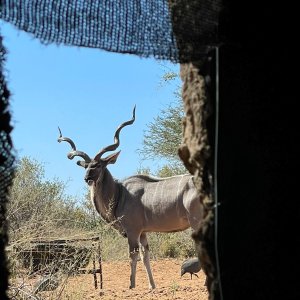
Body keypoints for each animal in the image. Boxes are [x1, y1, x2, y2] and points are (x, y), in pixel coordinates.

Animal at [57, 106, 203, 290]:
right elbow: (145, 256)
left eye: (98, 165)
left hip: (197, 222)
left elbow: (133, 257)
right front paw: (151, 286)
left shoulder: (133, 231)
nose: (87, 178)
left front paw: (131, 286)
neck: (119, 193)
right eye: (85, 166)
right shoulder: (143, 233)